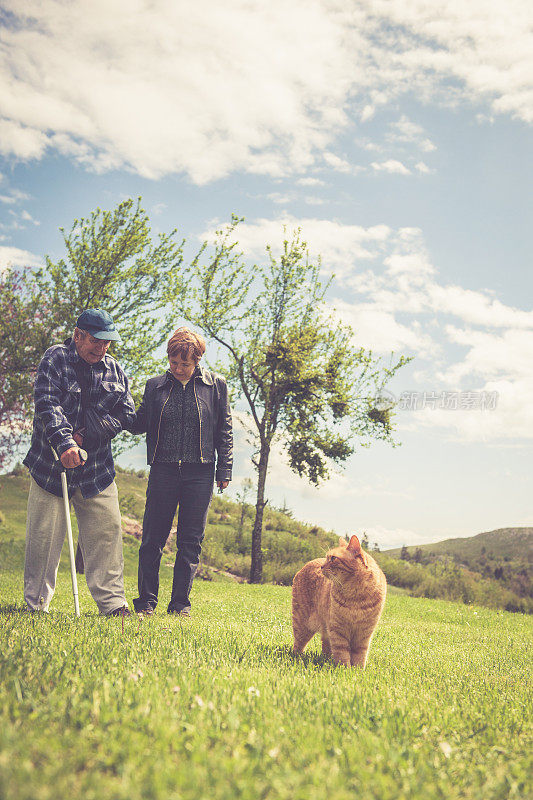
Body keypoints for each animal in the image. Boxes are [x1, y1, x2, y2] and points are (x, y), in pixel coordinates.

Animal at [290, 536, 386, 668]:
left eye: (333, 558)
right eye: (327, 557)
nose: (322, 567)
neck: (355, 597)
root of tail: (309, 562)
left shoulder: (364, 633)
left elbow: (360, 654)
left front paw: (358, 670)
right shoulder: (338, 630)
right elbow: (342, 652)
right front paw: (344, 668)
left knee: (325, 645)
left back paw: (326, 658)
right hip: (302, 624)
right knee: (298, 644)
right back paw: (297, 657)